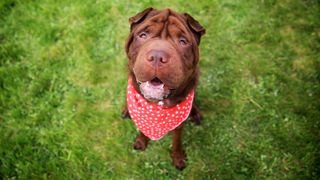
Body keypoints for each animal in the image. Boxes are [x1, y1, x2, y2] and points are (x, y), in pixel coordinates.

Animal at [122, 7, 205, 170]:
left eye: (183, 41)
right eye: (143, 35)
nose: (157, 56)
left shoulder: (179, 126)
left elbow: (177, 141)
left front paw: (178, 158)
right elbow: (143, 128)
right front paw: (141, 141)